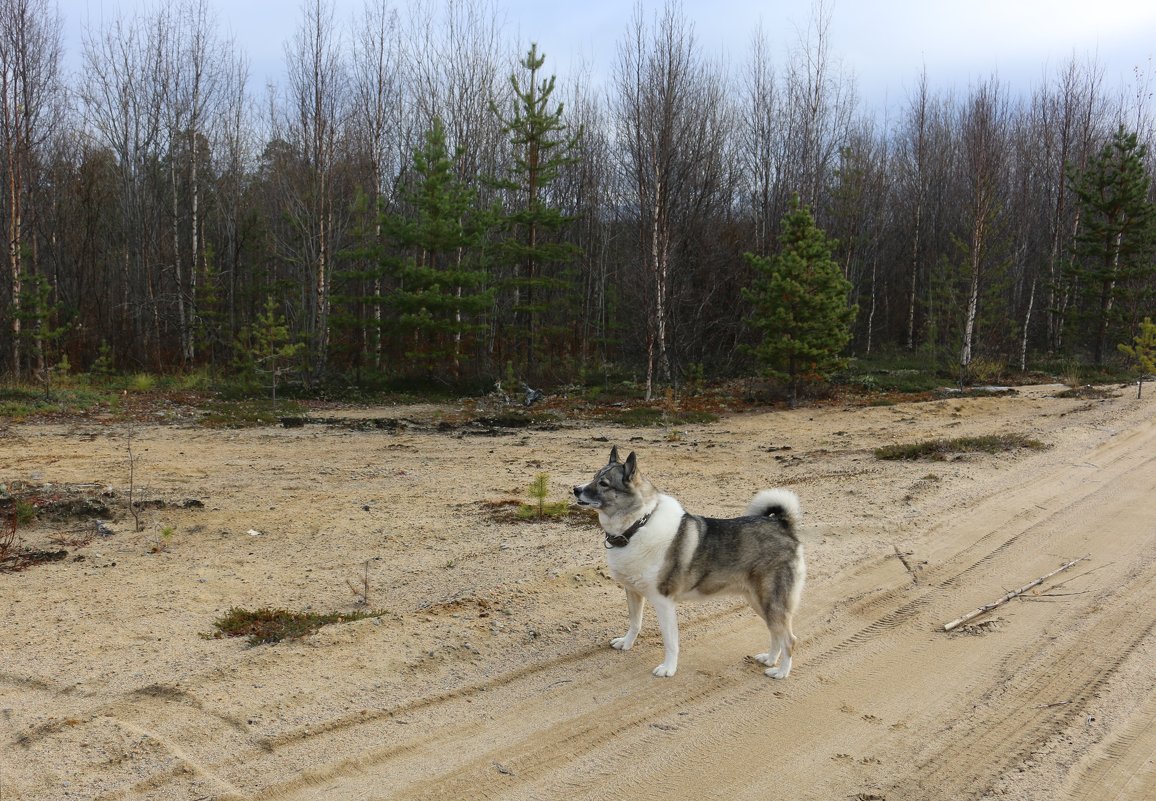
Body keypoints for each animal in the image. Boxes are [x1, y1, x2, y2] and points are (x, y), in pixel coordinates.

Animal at [571, 446, 804, 679]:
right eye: (594, 476)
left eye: (604, 483)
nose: (575, 489)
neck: (638, 525)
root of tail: (782, 525)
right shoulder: (634, 592)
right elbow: (635, 623)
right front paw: (627, 643)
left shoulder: (664, 602)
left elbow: (670, 642)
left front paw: (668, 668)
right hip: (759, 601)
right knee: (775, 633)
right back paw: (770, 659)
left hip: (771, 602)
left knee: (789, 639)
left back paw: (781, 671)